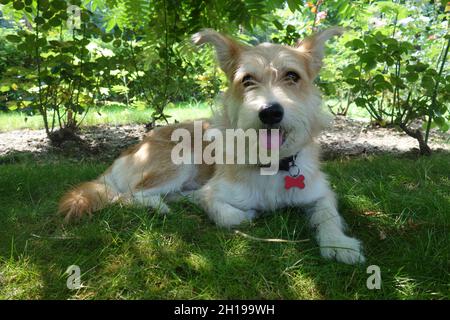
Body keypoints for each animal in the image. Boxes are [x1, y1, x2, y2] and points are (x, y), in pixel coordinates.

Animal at [59, 27, 366, 264]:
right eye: (247, 80)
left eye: (292, 76)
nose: (270, 112)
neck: (271, 163)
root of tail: (131, 150)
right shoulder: (214, 193)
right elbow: (230, 216)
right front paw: (243, 213)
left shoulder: (320, 192)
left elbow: (328, 214)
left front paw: (339, 244)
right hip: (181, 159)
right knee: (127, 195)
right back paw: (160, 205)